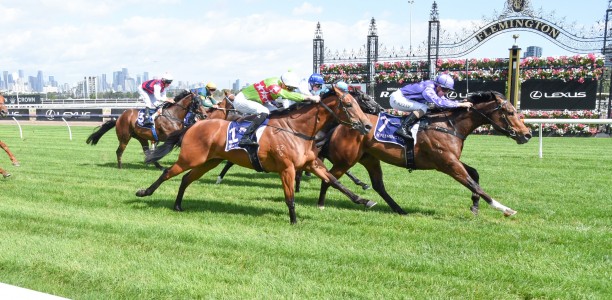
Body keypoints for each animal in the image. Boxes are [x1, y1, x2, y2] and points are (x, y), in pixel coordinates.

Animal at [139, 85, 376, 224]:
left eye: (358, 102)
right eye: (349, 104)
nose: (366, 125)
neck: (296, 129)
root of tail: (194, 125)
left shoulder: (312, 164)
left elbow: (335, 181)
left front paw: (364, 200)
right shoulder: (287, 168)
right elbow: (289, 197)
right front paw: (294, 221)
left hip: (209, 162)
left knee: (186, 179)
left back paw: (178, 205)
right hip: (190, 157)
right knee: (168, 172)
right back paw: (144, 192)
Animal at [316, 90, 532, 217]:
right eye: (510, 113)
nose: (527, 134)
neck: (449, 126)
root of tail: (339, 124)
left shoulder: (451, 160)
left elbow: (475, 175)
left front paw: (475, 206)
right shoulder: (448, 164)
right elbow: (475, 185)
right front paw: (504, 208)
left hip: (369, 158)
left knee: (378, 185)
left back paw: (399, 209)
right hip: (347, 160)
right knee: (328, 178)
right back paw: (321, 203)